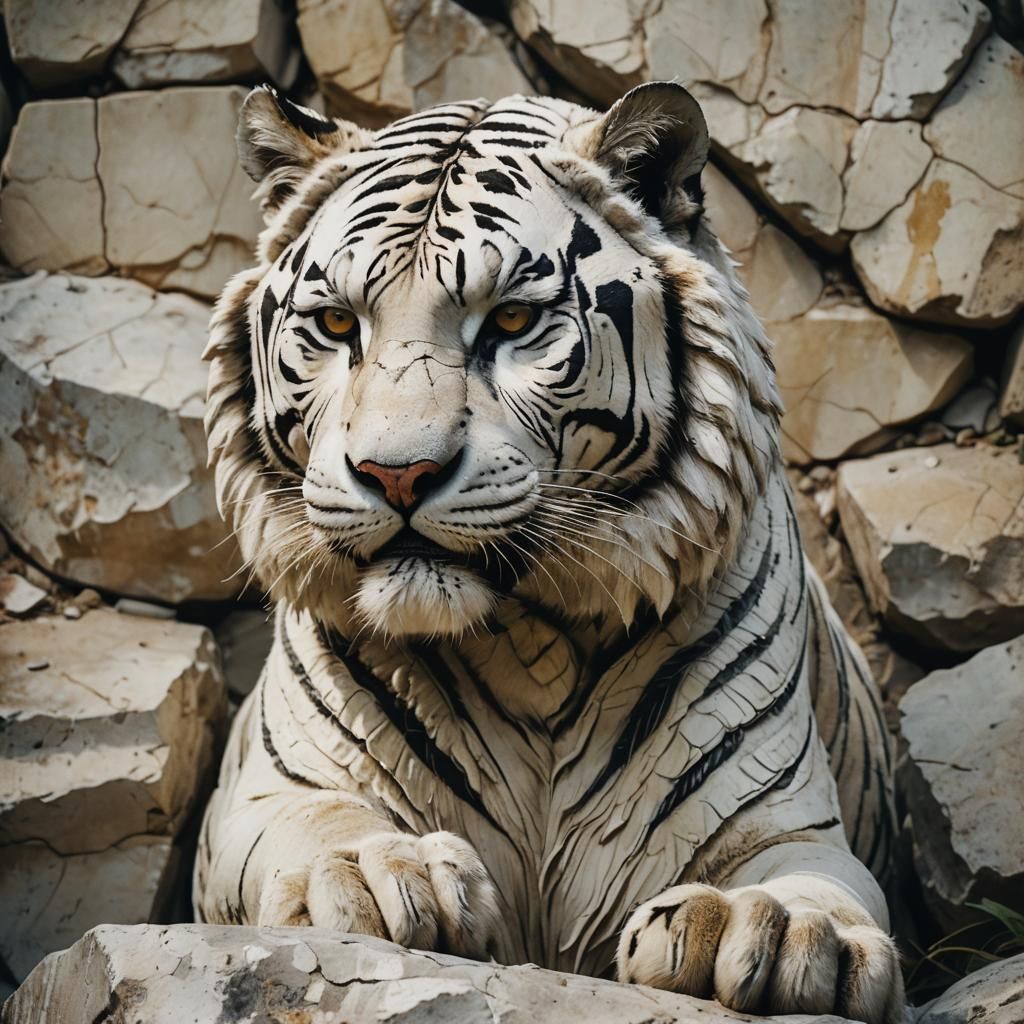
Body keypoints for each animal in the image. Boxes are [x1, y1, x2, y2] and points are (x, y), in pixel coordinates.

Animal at [195, 82, 903, 1022]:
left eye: (513, 319)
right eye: (339, 322)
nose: (397, 473)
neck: (521, 641)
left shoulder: (783, 815)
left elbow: (812, 884)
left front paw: (771, 928)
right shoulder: (274, 790)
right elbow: (322, 823)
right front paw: (374, 875)